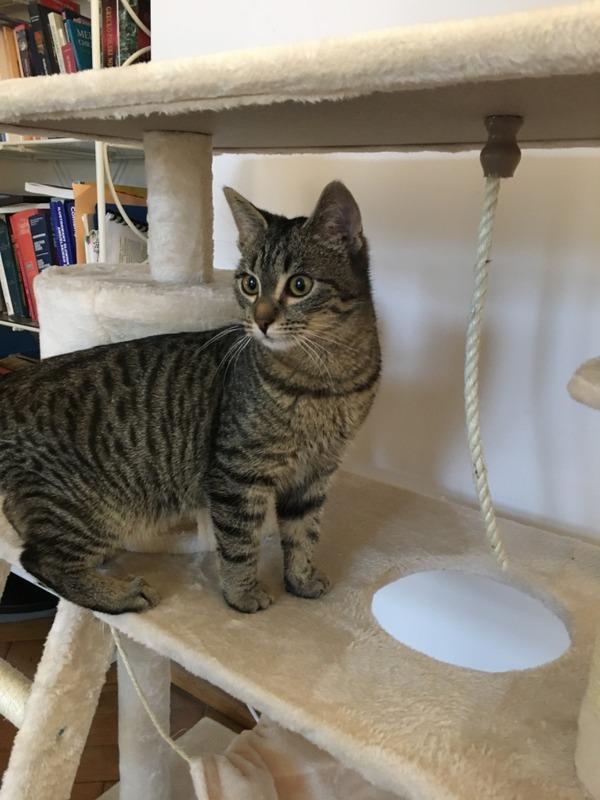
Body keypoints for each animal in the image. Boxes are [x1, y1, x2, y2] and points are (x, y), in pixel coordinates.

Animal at [0, 180, 381, 614]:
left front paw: (300, 579)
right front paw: (242, 594)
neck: (325, 380)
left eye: (299, 285)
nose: (261, 320)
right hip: (91, 507)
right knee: (41, 560)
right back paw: (120, 595)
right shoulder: (237, 474)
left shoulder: (315, 474)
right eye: (250, 284)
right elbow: (239, 545)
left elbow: (304, 535)